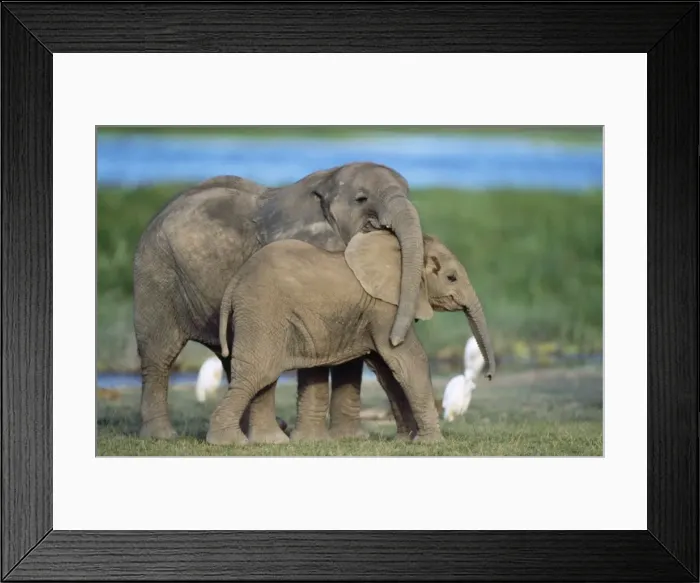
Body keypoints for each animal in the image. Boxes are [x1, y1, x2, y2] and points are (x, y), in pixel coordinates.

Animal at [133, 162, 427, 440]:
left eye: (409, 193)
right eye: (362, 199)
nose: (396, 337)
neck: (328, 182)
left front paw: (348, 438)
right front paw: (314, 440)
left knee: (234, 356)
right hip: (156, 276)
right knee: (159, 355)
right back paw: (162, 435)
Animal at [208, 229, 495, 445]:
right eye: (451, 277)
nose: (490, 376)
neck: (408, 252)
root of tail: (235, 281)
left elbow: (388, 370)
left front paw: (407, 440)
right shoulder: (385, 308)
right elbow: (409, 361)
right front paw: (431, 443)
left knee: (264, 375)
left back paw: (268, 441)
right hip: (262, 312)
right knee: (258, 372)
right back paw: (228, 442)